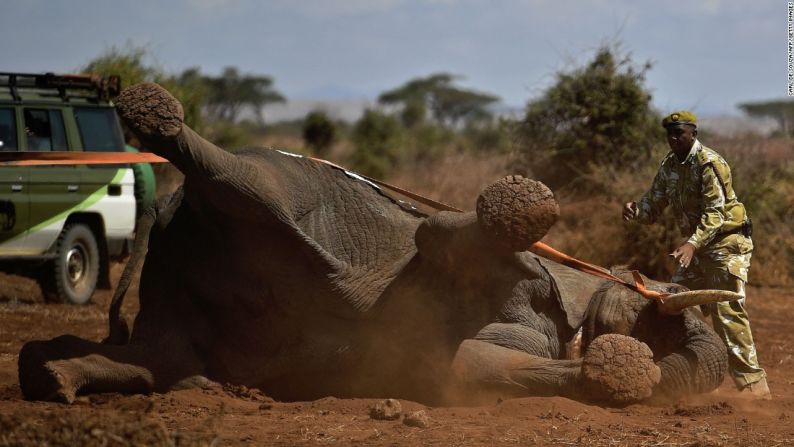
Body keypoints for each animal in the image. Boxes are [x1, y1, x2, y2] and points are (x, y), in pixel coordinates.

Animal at [18, 83, 732, 406]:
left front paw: (621, 372)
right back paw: (154, 115)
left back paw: (51, 374)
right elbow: (438, 233)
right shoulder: (474, 253)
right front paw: (521, 204)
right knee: (240, 178)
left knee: (156, 358)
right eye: (659, 315)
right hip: (284, 178)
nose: (671, 324)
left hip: (180, 306)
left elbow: (469, 364)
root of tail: (167, 207)